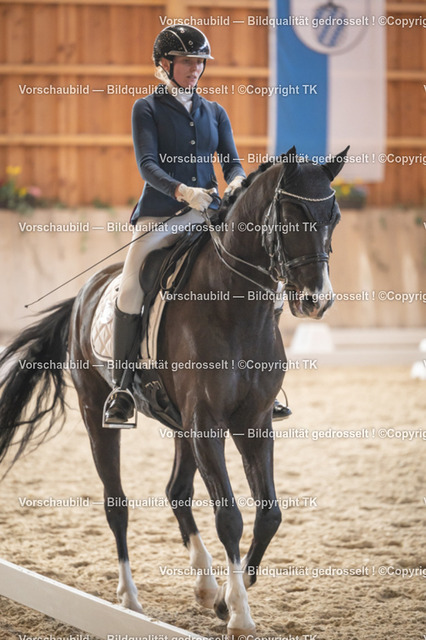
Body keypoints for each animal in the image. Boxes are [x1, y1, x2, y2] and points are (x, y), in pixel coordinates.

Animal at [0, 146, 348, 637]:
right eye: (292, 213)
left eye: (333, 216)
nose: (317, 300)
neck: (236, 307)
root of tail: (86, 292)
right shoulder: (207, 424)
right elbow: (229, 516)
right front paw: (238, 613)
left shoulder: (254, 421)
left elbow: (269, 513)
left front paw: (227, 596)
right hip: (96, 410)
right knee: (116, 503)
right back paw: (129, 600)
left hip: (180, 423)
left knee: (176, 491)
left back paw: (205, 585)